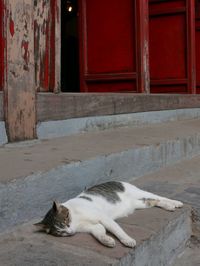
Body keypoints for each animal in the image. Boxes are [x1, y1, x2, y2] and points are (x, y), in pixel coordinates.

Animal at [34, 181, 183, 247]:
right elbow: (99, 232)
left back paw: (175, 202)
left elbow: (117, 230)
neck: (76, 220)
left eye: (66, 221)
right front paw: (107, 240)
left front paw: (127, 240)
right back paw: (168, 206)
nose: (70, 232)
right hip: (137, 204)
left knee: (158, 196)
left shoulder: (104, 218)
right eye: (60, 232)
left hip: (138, 192)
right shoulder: (94, 227)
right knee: (153, 201)